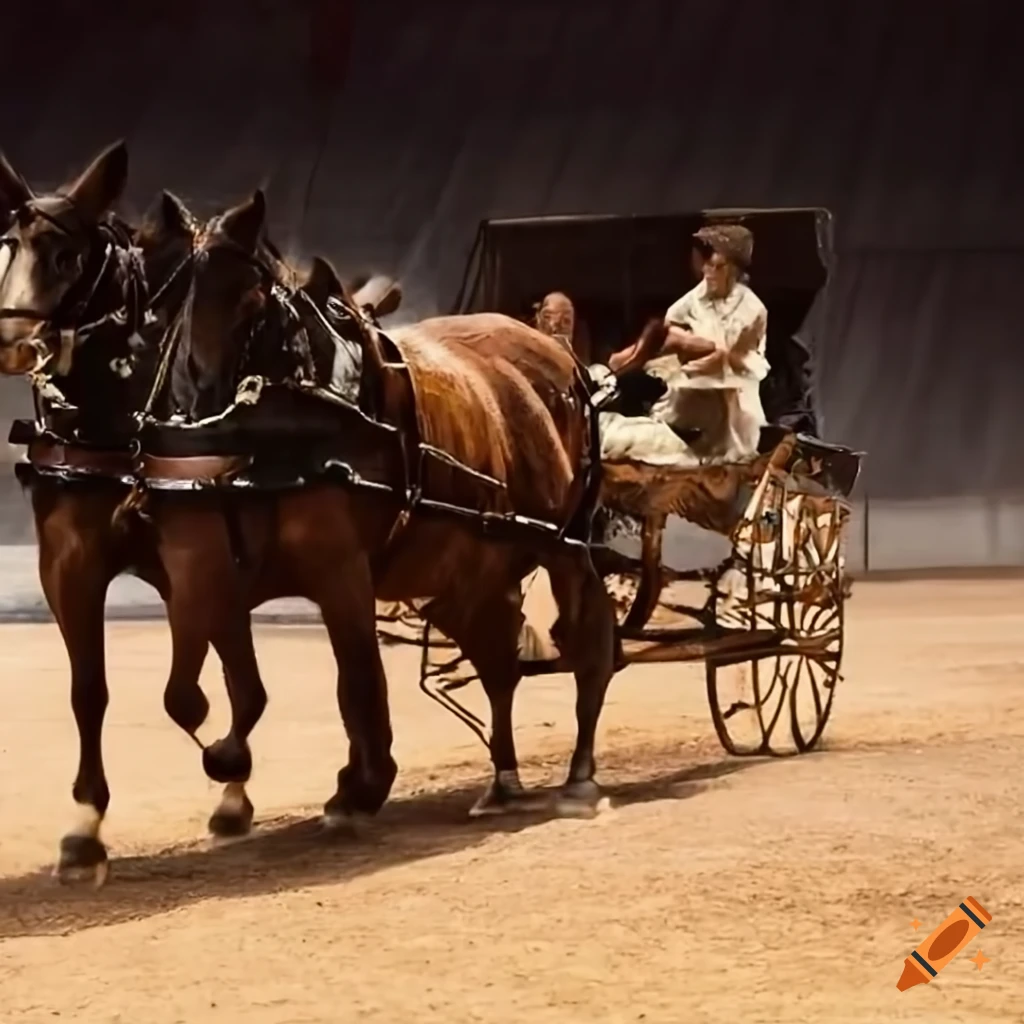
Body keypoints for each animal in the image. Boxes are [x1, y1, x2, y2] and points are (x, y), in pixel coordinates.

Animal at [0, 143, 400, 883]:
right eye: (6, 248)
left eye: (67, 257)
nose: (14, 342)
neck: (119, 428)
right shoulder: (69, 562)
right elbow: (90, 690)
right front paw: (85, 827)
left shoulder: (198, 554)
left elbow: (200, 694)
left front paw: (227, 764)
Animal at [132, 188, 618, 840]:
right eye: (174, 300)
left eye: (251, 299)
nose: (198, 416)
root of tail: (559, 354)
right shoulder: (210, 562)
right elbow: (211, 683)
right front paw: (231, 765)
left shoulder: (340, 565)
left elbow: (358, 674)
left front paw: (361, 785)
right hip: (471, 566)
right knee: (497, 660)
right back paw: (503, 782)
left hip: (561, 544)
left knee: (587, 640)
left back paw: (579, 778)